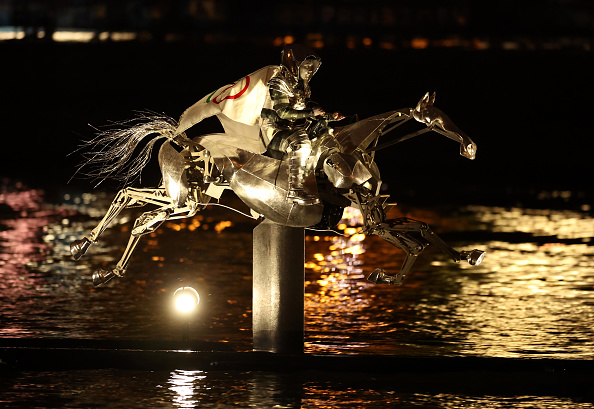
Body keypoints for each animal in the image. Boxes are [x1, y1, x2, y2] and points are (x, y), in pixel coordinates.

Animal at [71, 92, 484, 286]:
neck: (354, 148)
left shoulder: (373, 210)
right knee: (141, 218)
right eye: (436, 119)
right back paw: (104, 268)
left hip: (189, 197)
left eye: (448, 116)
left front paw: (468, 255)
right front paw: (386, 277)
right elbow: (414, 244)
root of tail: (178, 138)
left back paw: (87, 252)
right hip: (186, 201)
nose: (471, 148)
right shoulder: (370, 219)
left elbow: (423, 228)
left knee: (129, 198)